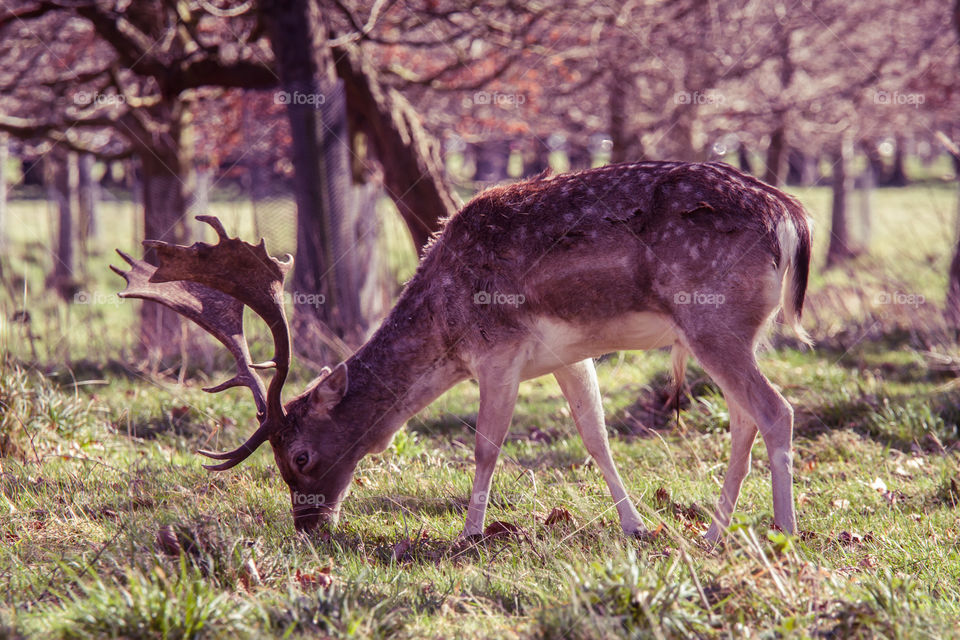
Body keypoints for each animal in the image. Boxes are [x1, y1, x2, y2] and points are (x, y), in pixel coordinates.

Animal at [116, 160, 812, 540]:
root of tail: (793, 218)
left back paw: (783, 529)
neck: (445, 326)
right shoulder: (571, 355)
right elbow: (595, 438)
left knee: (775, 410)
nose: (307, 525)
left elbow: (485, 446)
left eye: (302, 456)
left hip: (713, 319)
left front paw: (471, 533)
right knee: (745, 417)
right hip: (725, 332)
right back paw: (716, 532)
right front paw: (637, 526)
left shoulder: (498, 351)